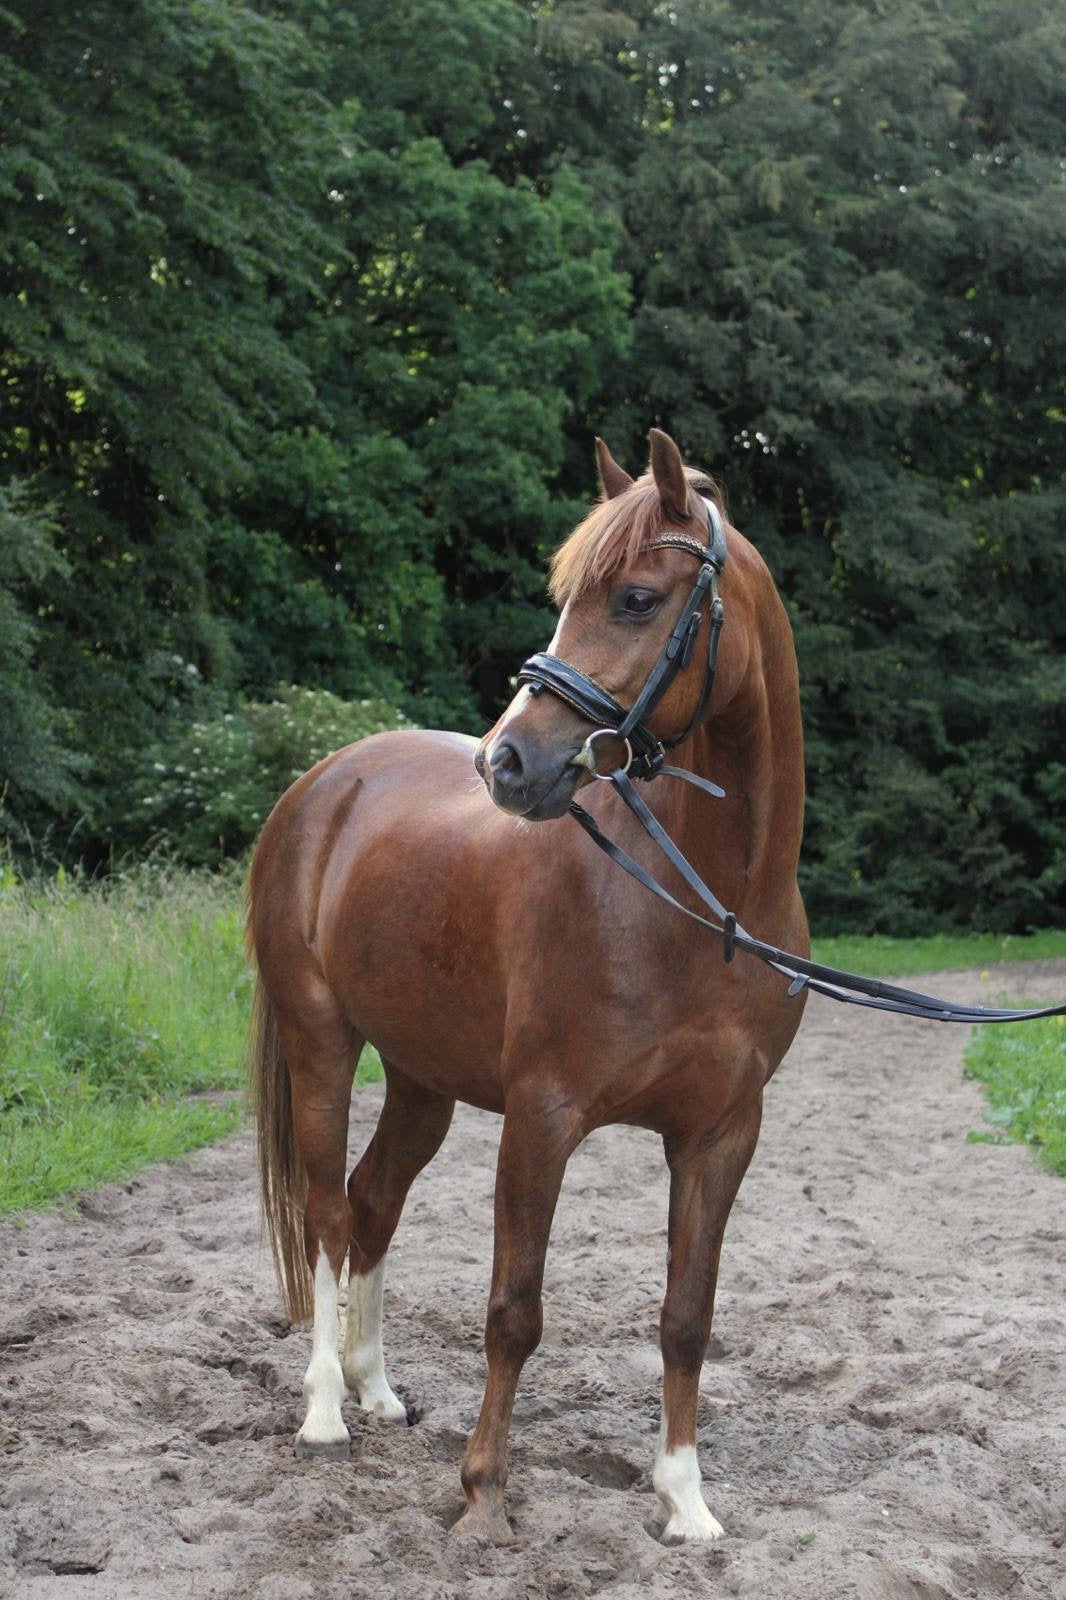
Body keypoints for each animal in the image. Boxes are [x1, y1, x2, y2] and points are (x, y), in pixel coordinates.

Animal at [246, 427, 809, 1544]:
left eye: (635, 597)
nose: (505, 763)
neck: (704, 904)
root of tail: (321, 786)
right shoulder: (543, 1117)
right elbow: (514, 1309)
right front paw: (483, 1497)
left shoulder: (721, 1133)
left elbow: (688, 1316)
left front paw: (685, 1500)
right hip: (322, 1043)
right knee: (327, 1212)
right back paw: (325, 1408)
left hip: (422, 1078)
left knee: (373, 1200)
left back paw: (377, 1391)